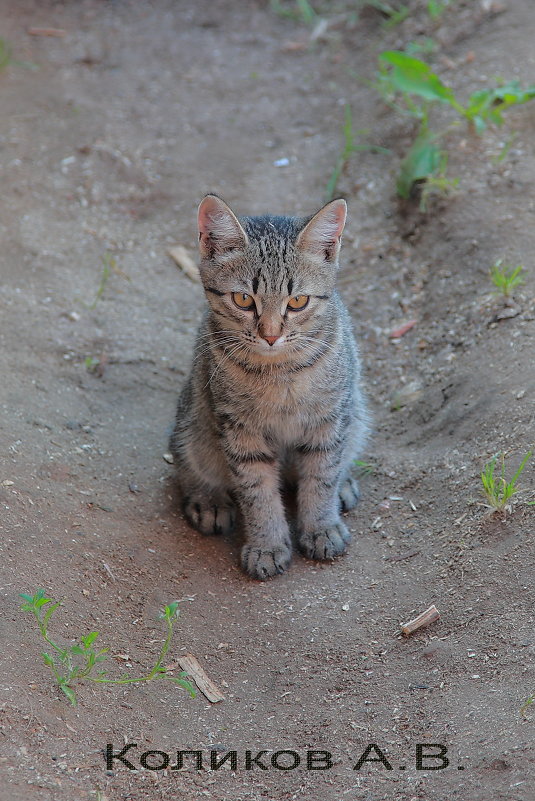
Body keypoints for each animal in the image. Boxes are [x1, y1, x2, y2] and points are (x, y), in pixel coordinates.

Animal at [170, 194, 370, 580]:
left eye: (297, 302)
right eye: (244, 300)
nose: (271, 335)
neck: (280, 372)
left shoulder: (330, 419)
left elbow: (322, 476)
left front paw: (322, 527)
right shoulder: (239, 430)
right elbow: (257, 491)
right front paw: (267, 546)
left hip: (355, 414)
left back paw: (344, 484)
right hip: (192, 423)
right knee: (186, 461)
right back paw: (208, 499)